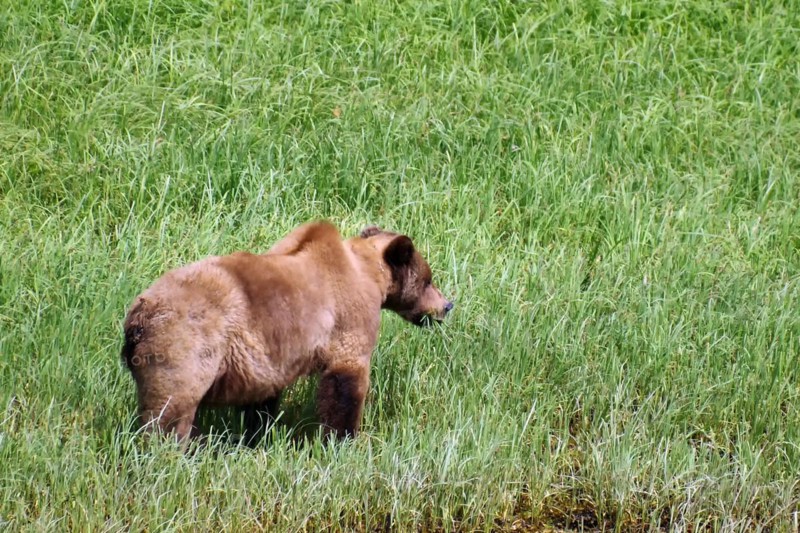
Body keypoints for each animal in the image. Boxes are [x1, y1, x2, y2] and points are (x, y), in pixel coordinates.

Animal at [121, 221, 453, 443]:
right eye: (427, 279)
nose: (447, 305)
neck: (368, 274)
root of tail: (139, 315)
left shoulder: (266, 356)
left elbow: (261, 399)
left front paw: (257, 433)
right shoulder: (348, 320)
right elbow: (345, 381)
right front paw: (342, 439)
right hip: (186, 341)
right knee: (171, 408)